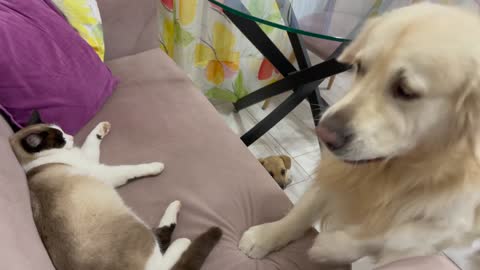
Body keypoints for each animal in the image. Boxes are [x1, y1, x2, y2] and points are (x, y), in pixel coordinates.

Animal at [7, 110, 221, 268]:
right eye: (60, 138)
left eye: (62, 131)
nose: (71, 137)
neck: (33, 164)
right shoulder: (102, 172)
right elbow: (131, 169)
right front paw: (156, 166)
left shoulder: (90, 158)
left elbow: (92, 140)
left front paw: (102, 127)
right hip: (139, 228)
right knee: (165, 254)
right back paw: (181, 235)